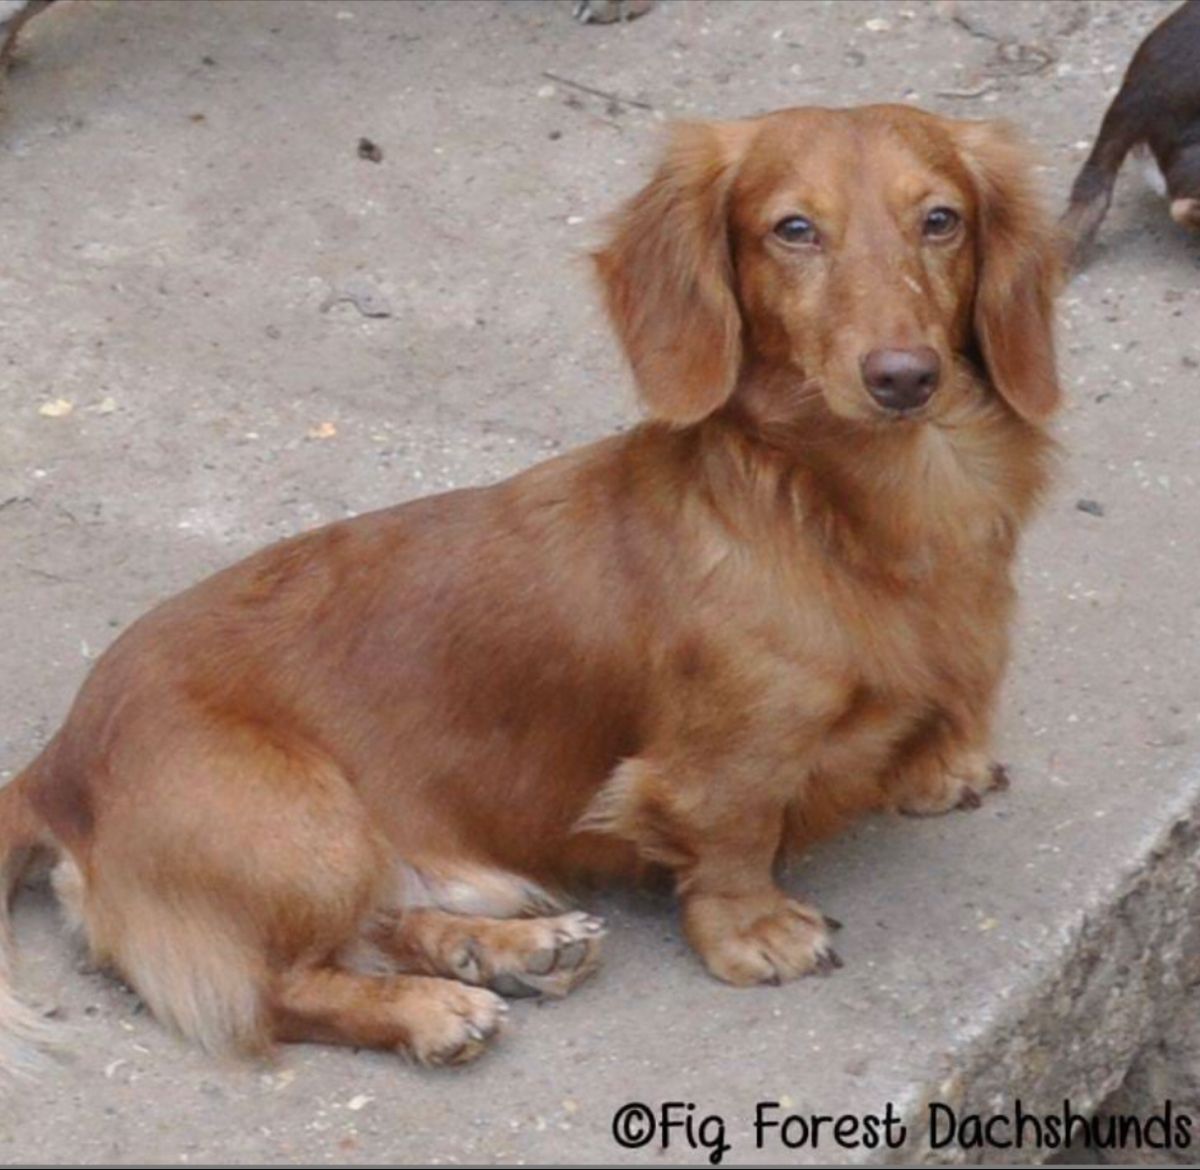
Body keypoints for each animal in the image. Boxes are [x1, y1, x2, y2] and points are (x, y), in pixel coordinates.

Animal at [0, 105, 1060, 1065]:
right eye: (793, 229)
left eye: (941, 219)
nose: (903, 376)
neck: (849, 513)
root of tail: (55, 765)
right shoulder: (720, 766)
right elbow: (732, 833)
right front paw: (754, 930)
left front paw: (942, 764)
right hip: (303, 827)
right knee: (283, 991)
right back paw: (431, 1010)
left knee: (382, 929)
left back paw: (504, 950)